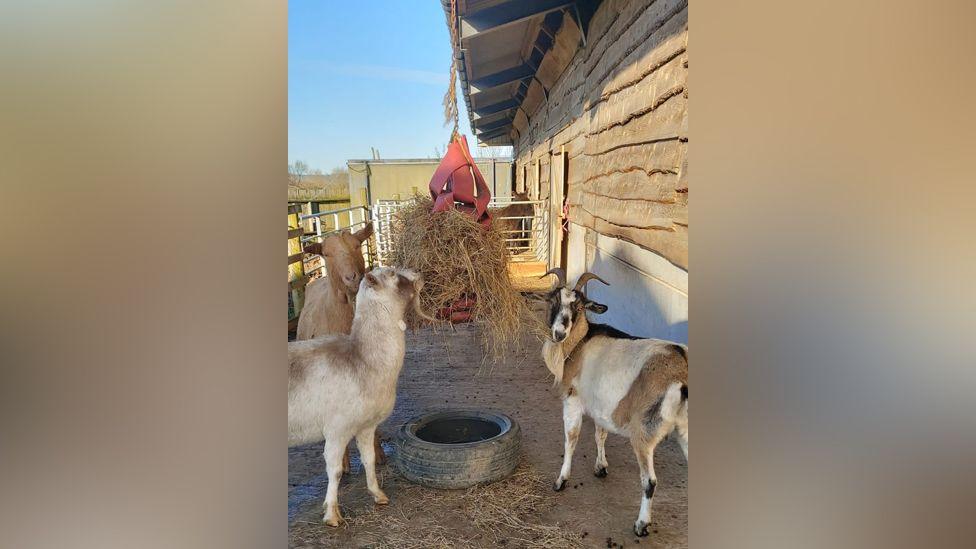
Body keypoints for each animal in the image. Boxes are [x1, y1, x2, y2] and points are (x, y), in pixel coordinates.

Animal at [286, 266, 430, 528]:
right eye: (392, 274)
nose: (420, 275)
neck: (363, 358)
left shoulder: (366, 425)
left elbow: (369, 459)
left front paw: (378, 494)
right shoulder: (337, 429)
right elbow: (334, 470)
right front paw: (332, 514)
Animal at [540, 268, 688, 536]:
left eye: (579, 306)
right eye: (554, 300)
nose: (559, 333)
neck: (580, 342)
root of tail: (682, 371)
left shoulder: (573, 400)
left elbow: (571, 439)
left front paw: (561, 480)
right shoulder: (601, 403)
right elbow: (600, 434)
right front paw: (601, 467)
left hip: (643, 433)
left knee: (649, 481)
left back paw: (641, 525)